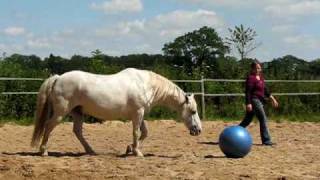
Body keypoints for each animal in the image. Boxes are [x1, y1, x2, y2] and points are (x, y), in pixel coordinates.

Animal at [31, 67, 202, 156]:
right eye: (193, 111)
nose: (199, 130)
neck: (146, 85)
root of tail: (58, 78)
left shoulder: (140, 114)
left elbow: (144, 133)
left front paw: (130, 149)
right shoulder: (138, 113)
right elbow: (136, 133)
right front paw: (137, 152)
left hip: (77, 112)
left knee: (77, 131)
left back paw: (91, 151)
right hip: (61, 113)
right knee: (48, 126)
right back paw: (43, 151)